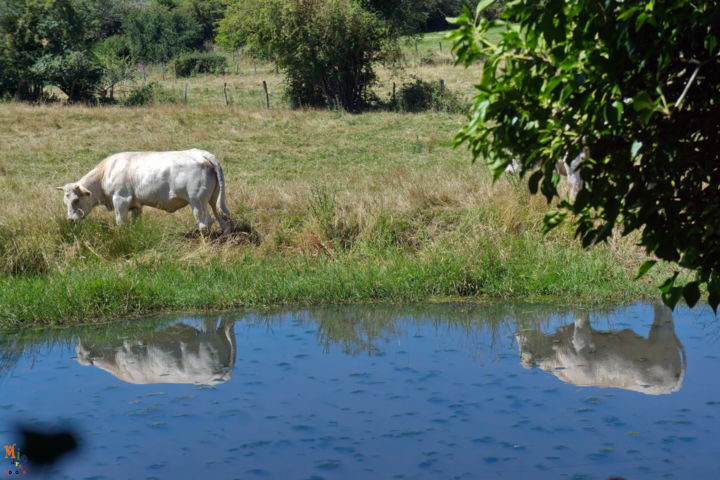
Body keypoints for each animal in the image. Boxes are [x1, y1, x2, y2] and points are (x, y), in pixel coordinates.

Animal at [57, 149, 231, 233]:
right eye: (65, 202)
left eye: (76, 200)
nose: (70, 220)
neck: (105, 172)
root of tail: (201, 154)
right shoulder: (136, 205)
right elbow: (134, 222)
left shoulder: (121, 199)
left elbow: (121, 222)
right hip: (213, 200)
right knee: (223, 221)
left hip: (197, 202)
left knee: (205, 223)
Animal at [77, 318, 238, 386]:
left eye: (79, 352)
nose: (80, 339)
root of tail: (222, 374)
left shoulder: (133, 346)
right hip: (224, 334)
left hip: (206, 338)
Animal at [516, 306, 684, 396]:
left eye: (524, 347)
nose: (517, 333)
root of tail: (673, 386)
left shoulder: (581, 339)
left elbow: (580, 322)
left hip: (663, 335)